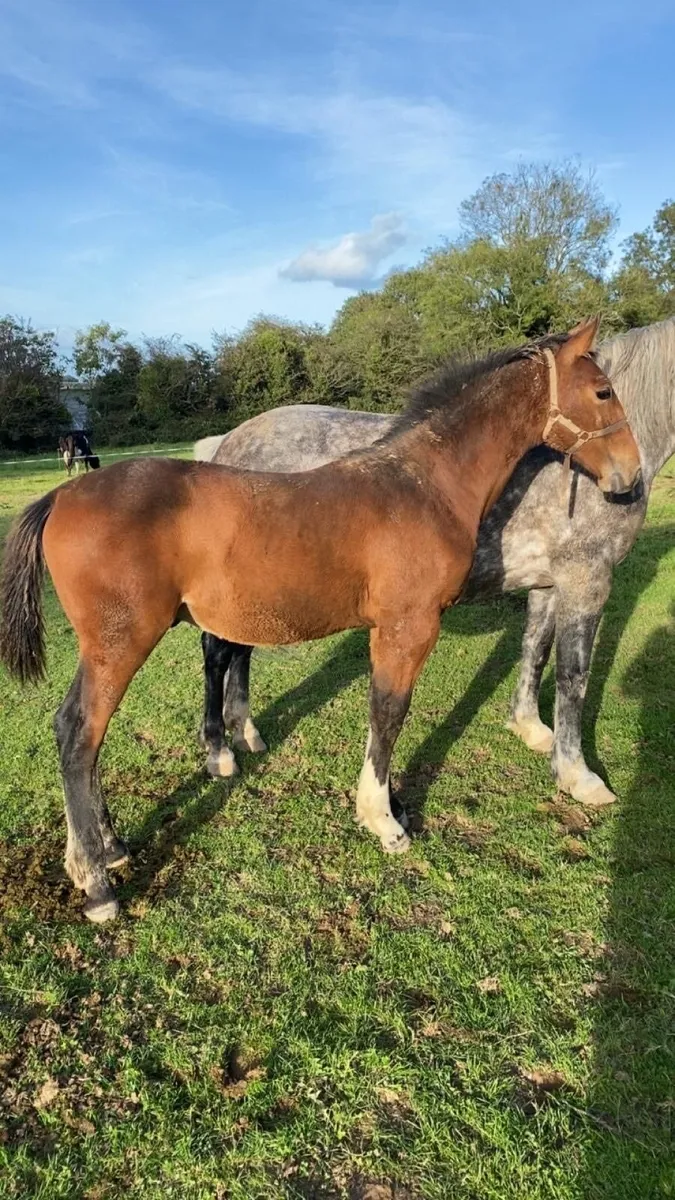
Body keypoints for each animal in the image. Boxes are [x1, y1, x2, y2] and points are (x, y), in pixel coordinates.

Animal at [196, 316, 673, 809]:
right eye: (603, 392)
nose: (628, 476)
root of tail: (228, 441)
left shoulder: (549, 583)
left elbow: (535, 649)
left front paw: (530, 728)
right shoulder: (587, 580)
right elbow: (573, 676)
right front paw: (578, 774)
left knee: (240, 649)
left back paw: (245, 732)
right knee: (217, 653)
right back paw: (221, 750)